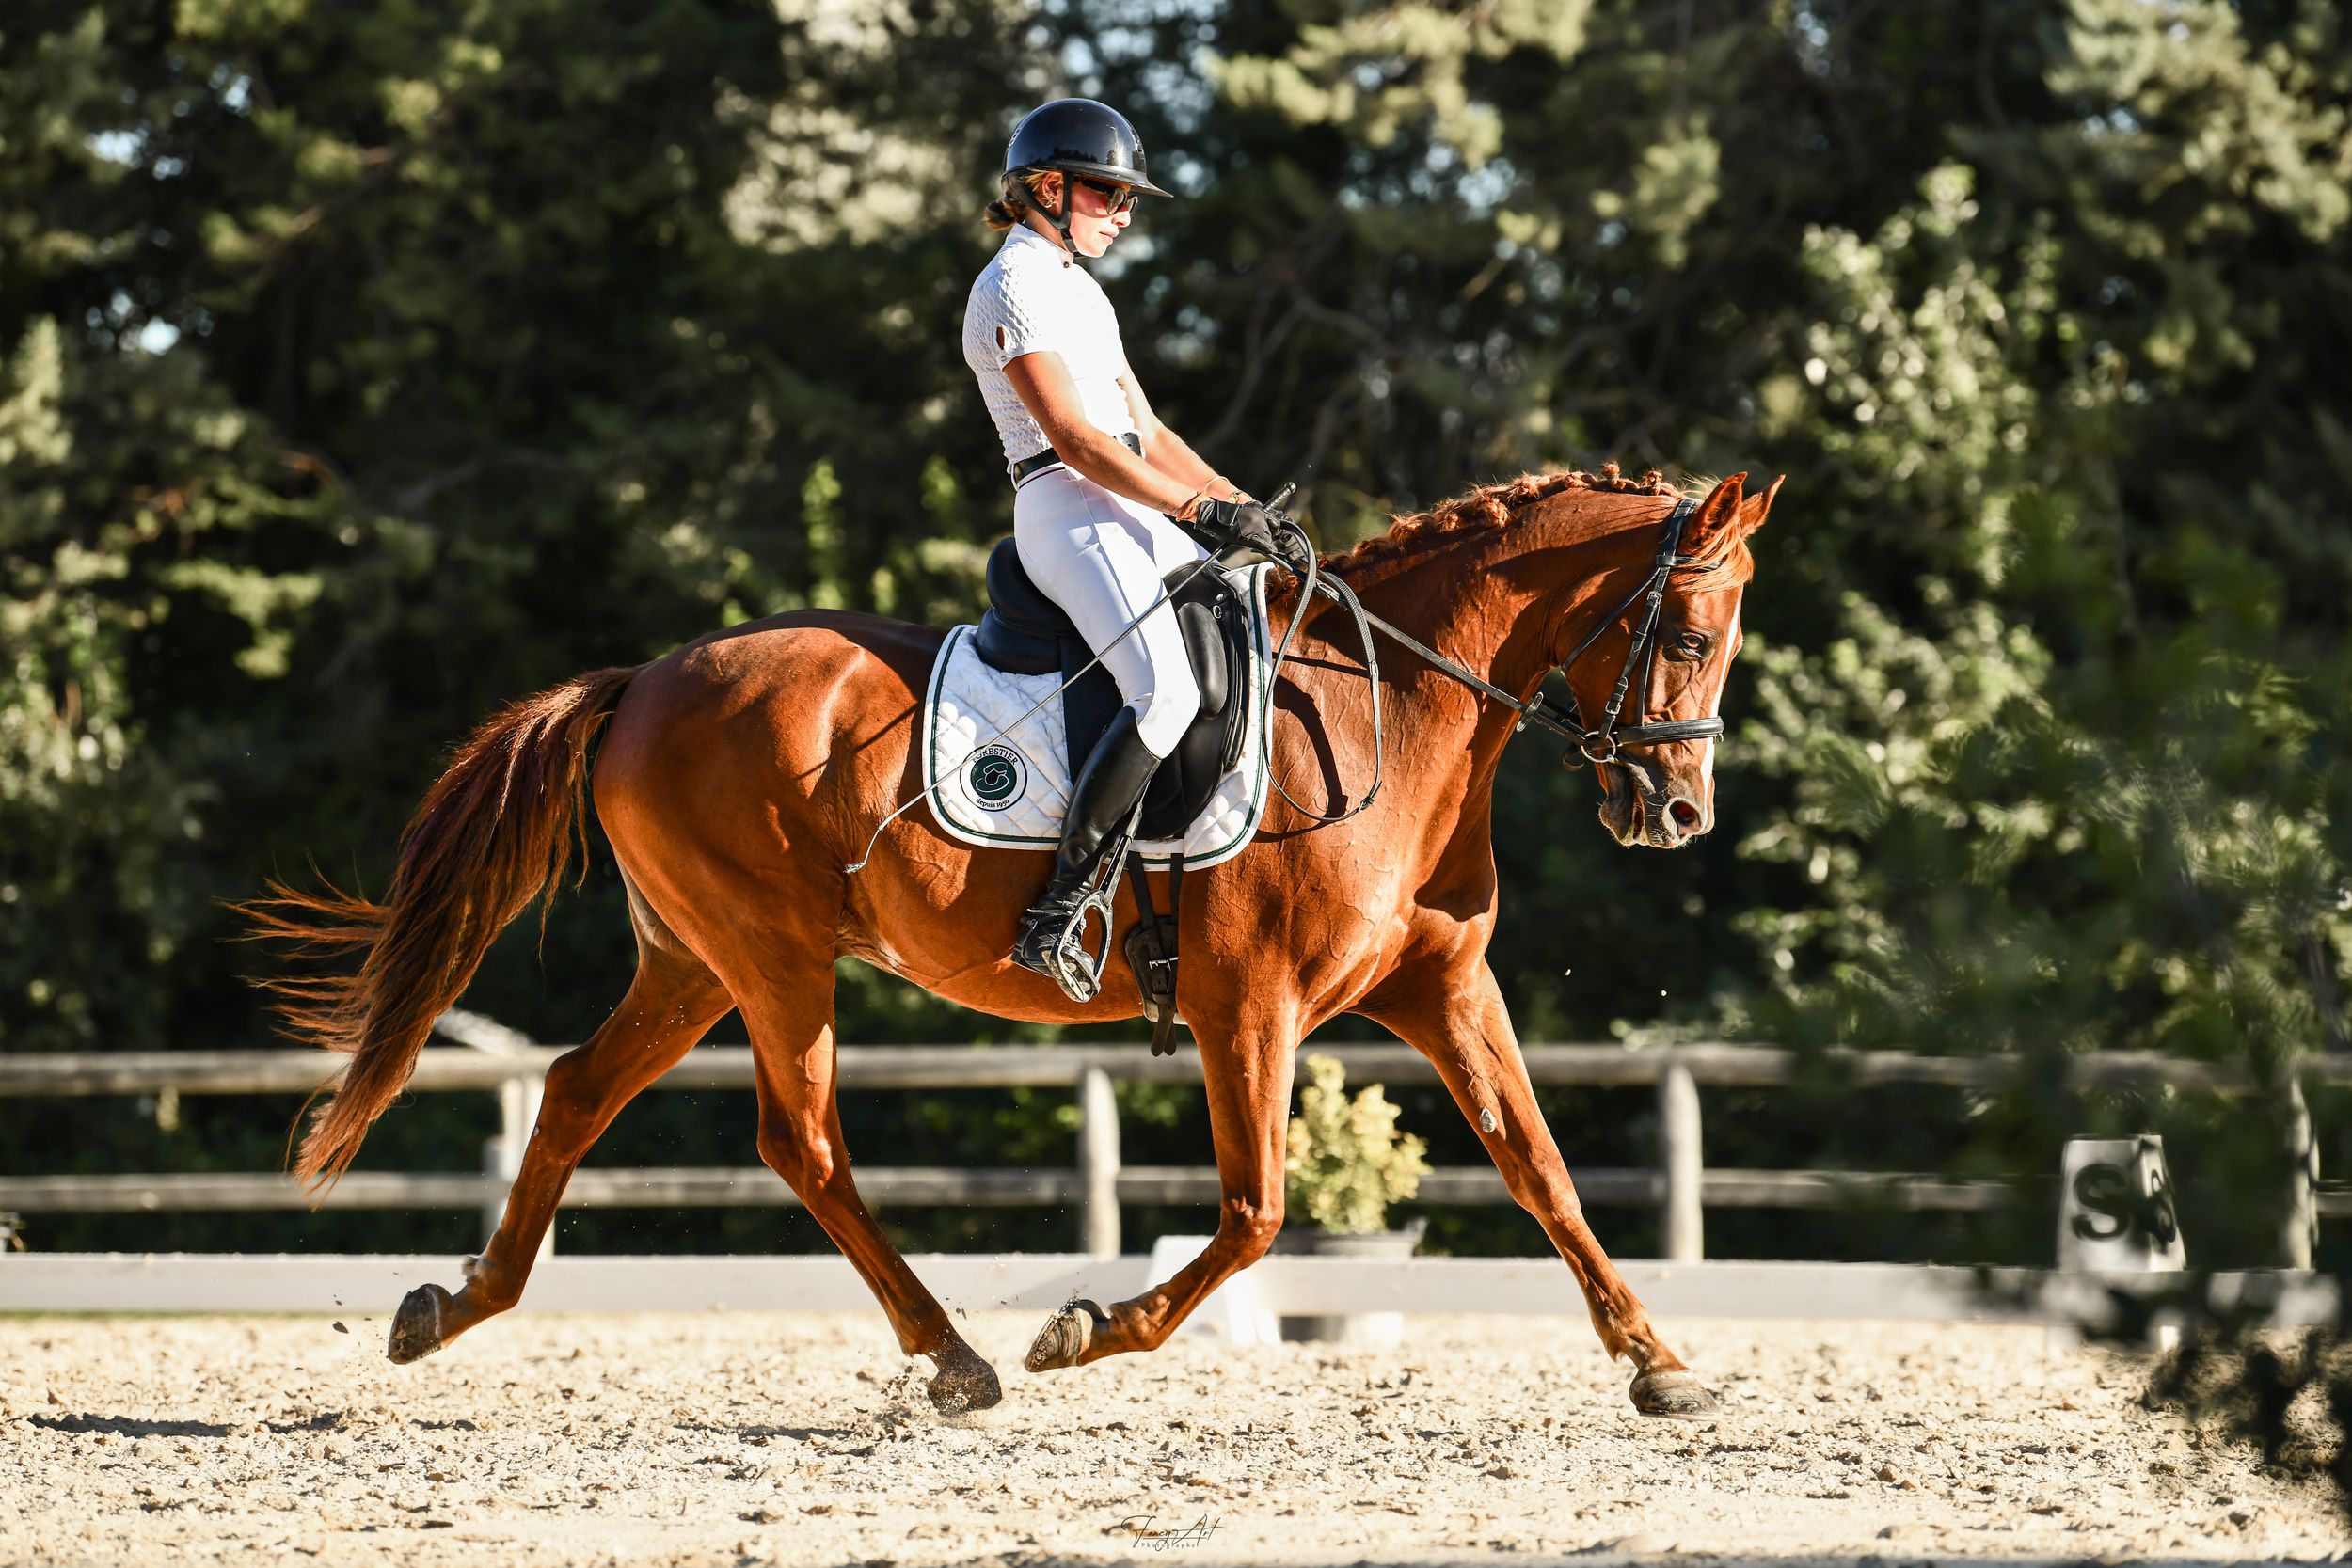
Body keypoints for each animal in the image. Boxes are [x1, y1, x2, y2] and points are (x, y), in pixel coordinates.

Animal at [240, 461, 1778, 1418]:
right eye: (1688, 634)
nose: (1677, 811)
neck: (1386, 711)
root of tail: (642, 680)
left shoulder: (1444, 985)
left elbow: (1543, 1171)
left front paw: (1659, 1362)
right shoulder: (1249, 1004)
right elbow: (1257, 1210)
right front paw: (1087, 1329)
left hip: (691, 962)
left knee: (571, 1093)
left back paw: (453, 1305)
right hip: (772, 953)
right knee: (803, 1141)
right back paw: (960, 1355)